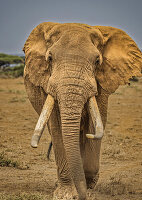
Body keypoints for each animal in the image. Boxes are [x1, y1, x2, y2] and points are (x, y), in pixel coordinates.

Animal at [23, 22, 142, 199]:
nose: (81, 195)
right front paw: (65, 194)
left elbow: (94, 124)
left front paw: (89, 188)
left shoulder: (100, 84)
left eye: (97, 60)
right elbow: (57, 127)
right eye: (49, 58)